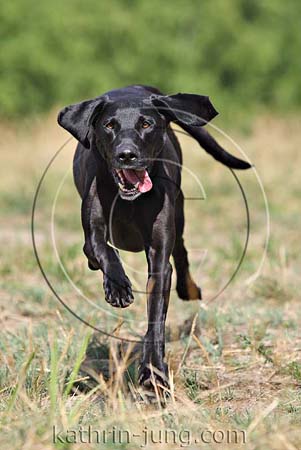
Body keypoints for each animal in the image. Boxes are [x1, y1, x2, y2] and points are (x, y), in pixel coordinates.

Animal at [57, 85, 250, 390]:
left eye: (146, 124)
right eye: (109, 125)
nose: (126, 154)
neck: (130, 201)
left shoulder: (159, 257)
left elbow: (156, 318)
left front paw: (153, 373)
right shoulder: (92, 232)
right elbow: (102, 250)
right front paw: (118, 286)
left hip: (179, 212)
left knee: (181, 252)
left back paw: (188, 288)